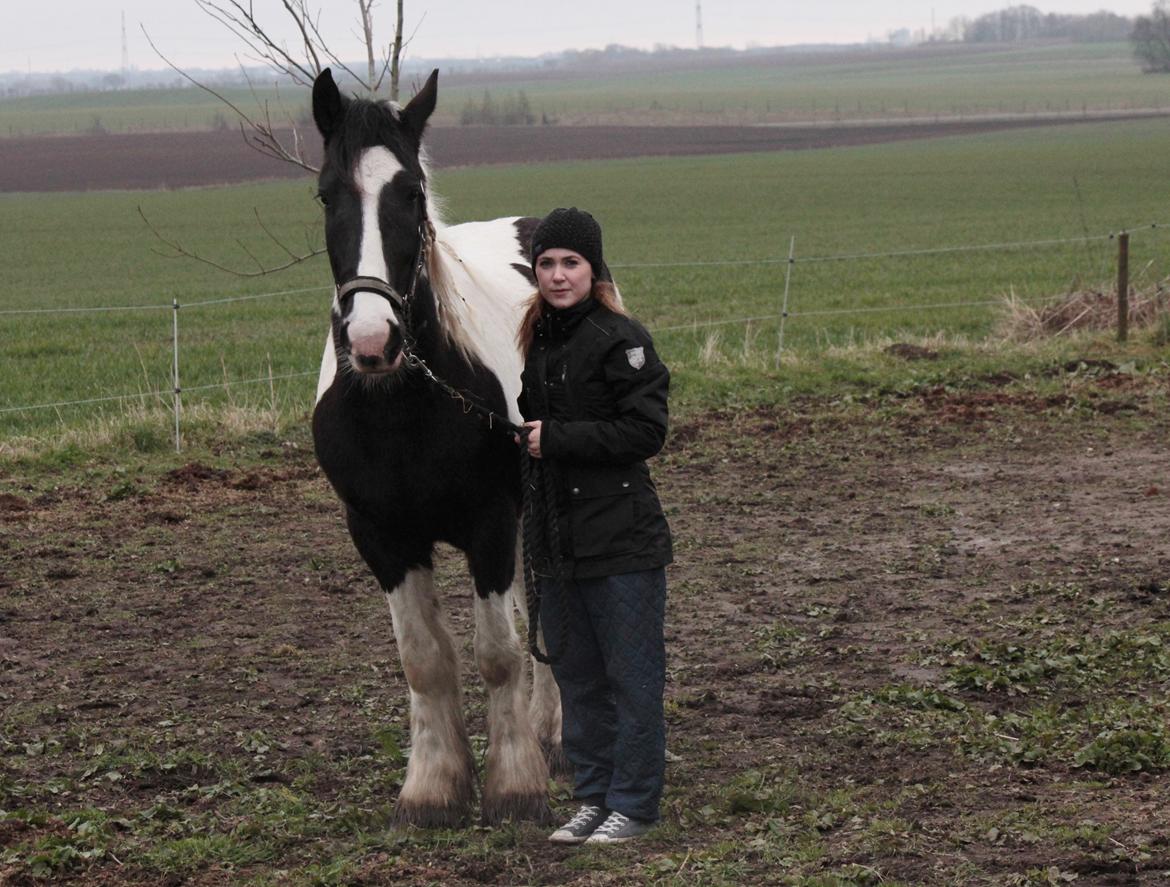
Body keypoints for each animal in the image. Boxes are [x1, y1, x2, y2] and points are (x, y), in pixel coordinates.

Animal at [308, 67, 559, 828]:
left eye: (412, 193)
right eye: (326, 193)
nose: (372, 341)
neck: (402, 407)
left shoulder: (491, 522)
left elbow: (498, 652)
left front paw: (515, 783)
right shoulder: (380, 535)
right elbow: (423, 658)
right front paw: (433, 784)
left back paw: (550, 731)